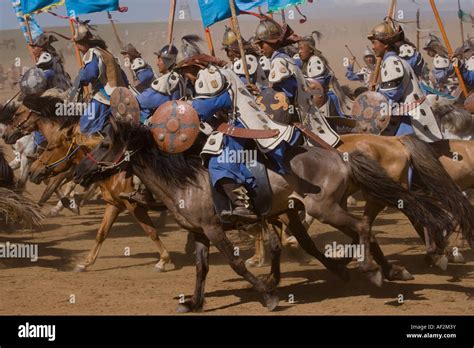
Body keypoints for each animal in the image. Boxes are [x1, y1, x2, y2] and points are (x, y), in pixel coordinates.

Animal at [72, 120, 454, 312]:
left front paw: (267, 295)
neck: (185, 183)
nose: (78, 173)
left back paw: (373, 271)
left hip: (325, 208)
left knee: (363, 226)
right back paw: (388, 268)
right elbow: (201, 269)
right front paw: (194, 302)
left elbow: (236, 263)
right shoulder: (200, 233)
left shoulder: (215, 229)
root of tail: (341, 156)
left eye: (103, 145)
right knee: (364, 230)